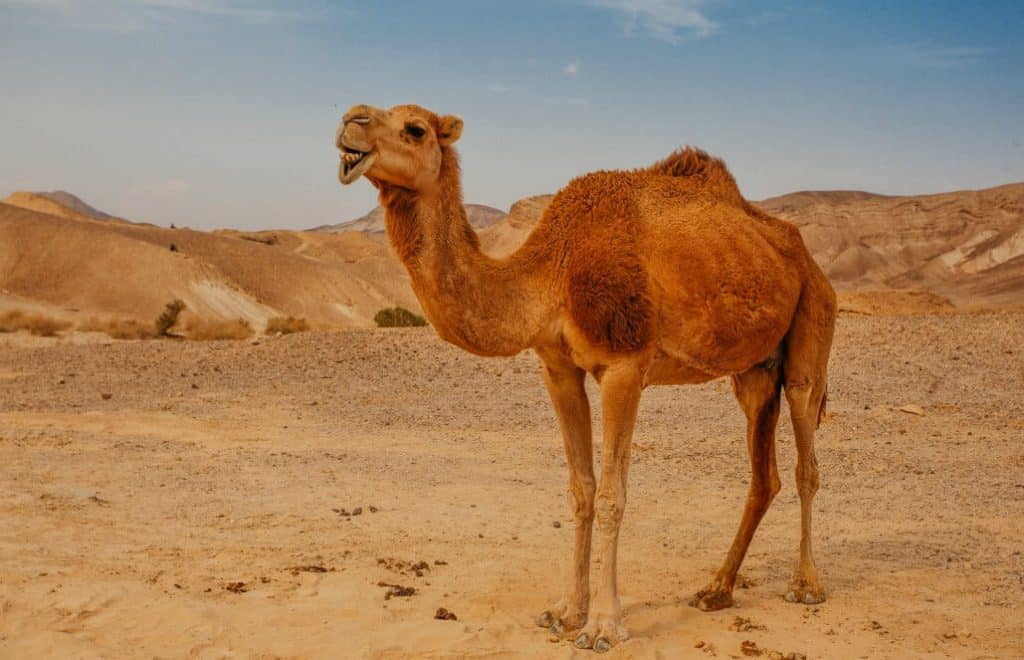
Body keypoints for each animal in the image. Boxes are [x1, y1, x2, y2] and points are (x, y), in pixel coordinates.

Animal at [331, 104, 835, 654]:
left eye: (416, 129)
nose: (351, 120)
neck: (554, 269)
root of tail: (804, 255)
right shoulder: (558, 368)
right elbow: (581, 489)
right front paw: (567, 611)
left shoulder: (624, 365)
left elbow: (613, 494)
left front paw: (603, 626)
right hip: (753, 372)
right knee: (764, 474)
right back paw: (717, 588)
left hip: (813, 320)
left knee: (807, 456)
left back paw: (806, 585)